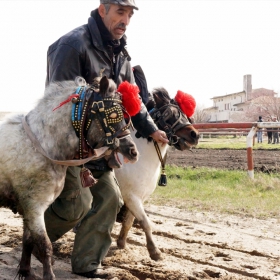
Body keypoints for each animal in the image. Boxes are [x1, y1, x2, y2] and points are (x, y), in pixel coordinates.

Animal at [114, 87, 199, 260]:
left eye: (185, 115)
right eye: (169, 114)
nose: (195, 135)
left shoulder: (139, 197)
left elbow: (129, 221)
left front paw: (121, 242)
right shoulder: (131, 197)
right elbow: (146, 222)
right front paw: (154, 251)